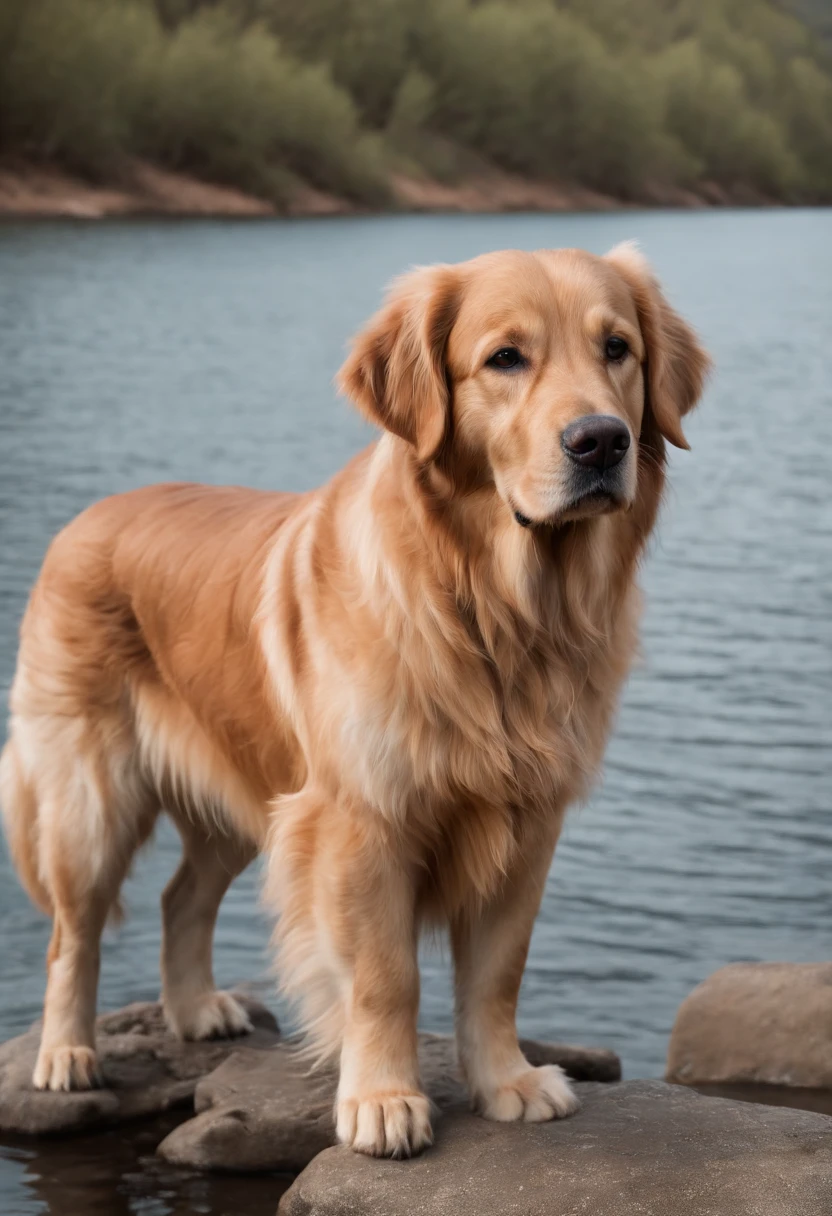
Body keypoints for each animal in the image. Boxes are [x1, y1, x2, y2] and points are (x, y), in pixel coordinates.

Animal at [0, 239, 710, 1157]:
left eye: (617, 348)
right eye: (505, 358)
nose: (601, 441)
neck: (494, 609)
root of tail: (84, 518)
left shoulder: (528, 824)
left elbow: (498, 972)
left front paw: (508, 1082)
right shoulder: (361, 822)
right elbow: (385, 977)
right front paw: (382, 1099)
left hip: (248, 795)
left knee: (180, 897)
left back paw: (195, 1010)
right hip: (92, 798)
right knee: (72, 933)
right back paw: (65, 1053)